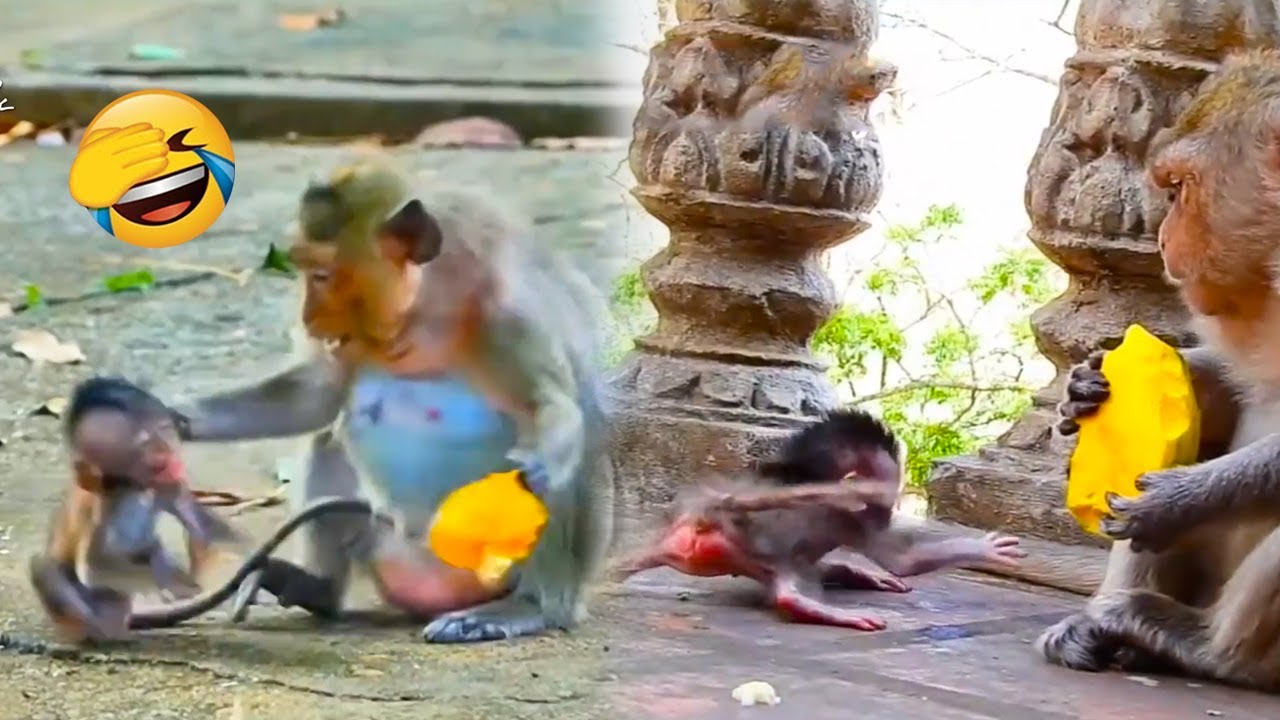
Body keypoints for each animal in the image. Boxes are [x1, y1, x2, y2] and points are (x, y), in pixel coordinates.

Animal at [162, 161, 614, 644]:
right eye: (303, 272)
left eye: (322, 275)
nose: (308, 318)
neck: (421, 311)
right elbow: (315, 398)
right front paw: (168, 416)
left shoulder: (507, 316)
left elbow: (552, 410)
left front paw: (539, 460)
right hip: (383, 542)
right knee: (327, 441)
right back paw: (316, 587)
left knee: (565, 464)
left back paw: (526, 607)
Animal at [610, 409, 1026, 631]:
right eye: (888, 493)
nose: (890, 508)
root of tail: (700, 521)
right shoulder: (854, 519)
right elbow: (903, 560)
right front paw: (984, 549)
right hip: (754, 551)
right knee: (790, 585)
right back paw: (816, 605)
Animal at [1035, 49, 1280, 691]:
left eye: (1180, 187)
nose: (1165, 237)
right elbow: (1232, 385)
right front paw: (1082, 388)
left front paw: (1178, 499)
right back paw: (1101, 633)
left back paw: (1207, 649)